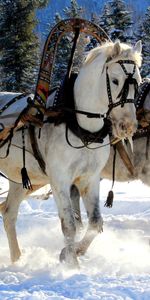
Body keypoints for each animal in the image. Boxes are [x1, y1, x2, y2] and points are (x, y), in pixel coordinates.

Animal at [0, 40, 142, 268]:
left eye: (138, 81)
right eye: (115, 80)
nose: (128, 126)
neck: (80, 125)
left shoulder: (89, 179)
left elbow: (95, 223)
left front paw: (74, 252)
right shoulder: (60, 180)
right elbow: (69, 224)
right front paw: (71, 264)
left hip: (23, 180)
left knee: (9, 213)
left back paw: (17, 259)